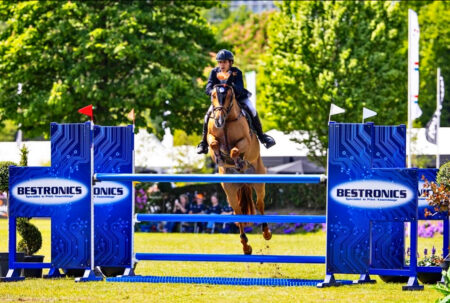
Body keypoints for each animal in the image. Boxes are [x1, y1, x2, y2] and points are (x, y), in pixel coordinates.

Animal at [207, 72, 270, 255]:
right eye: (213, 95)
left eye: (229, 95)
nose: (219, 120)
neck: (227, 121)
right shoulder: (211, 137)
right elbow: (214, 144)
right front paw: (220, 158)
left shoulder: (245, 142)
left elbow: (235, 150)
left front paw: (238, 161)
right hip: (229, 189)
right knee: (237, 211)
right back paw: (245, 245)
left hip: (259, 180)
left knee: (260, 204)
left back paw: (266, 233)